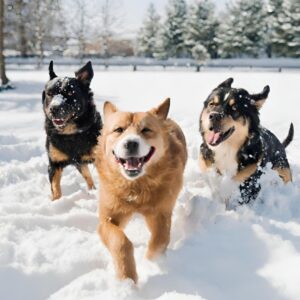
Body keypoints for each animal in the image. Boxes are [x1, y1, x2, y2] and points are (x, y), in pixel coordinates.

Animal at [42, 61, 102, 200]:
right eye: (49, 93)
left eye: (70, 93)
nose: (54, 108)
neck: (70, 134)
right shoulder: (54, 163)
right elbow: (55, 188)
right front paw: (56, 202)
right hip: (80, 164)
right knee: (88, 177)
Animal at [95, 99, 186, 284]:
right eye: (119, 129)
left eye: (146, 130)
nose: (131, 143)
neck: (136, 188)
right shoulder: (107, 219)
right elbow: (120, 241)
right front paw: (127, 278)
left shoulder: (160, 213)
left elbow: (160, 240)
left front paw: (152, 264)